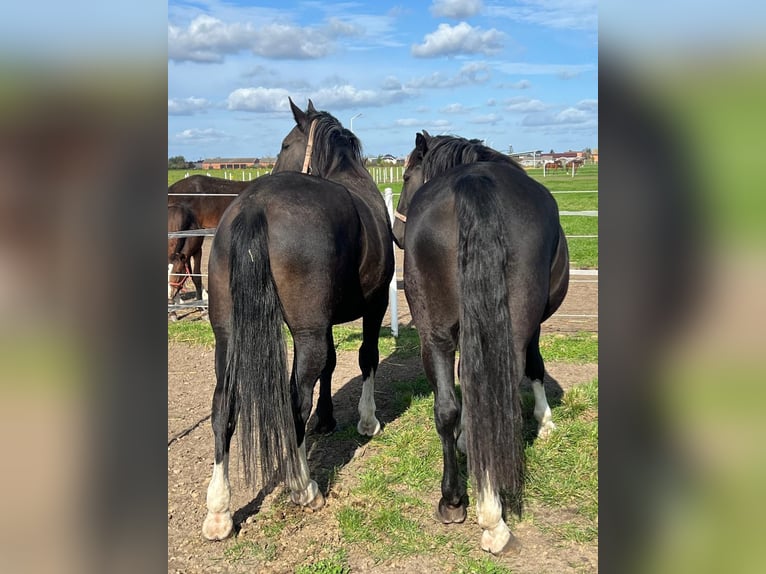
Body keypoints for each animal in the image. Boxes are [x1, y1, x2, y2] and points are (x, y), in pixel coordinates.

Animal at [202, 99, 396, 544]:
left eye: (284, 144)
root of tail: (254, 205)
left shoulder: (325, 322)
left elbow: (331, 365)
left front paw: (327, 419)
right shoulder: (373, 305)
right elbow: (366, 357)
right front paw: (367, 420)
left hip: (228, 336)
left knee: (223, 408)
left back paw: (219, 511)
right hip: (306, 334)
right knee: (294, 402)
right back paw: (303, 487)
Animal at [392, 133, 568, 556]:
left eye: (406, 176)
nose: (395, 234)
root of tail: (476, 183)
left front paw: (465, 442)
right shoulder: (532, 328)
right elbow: (535, 367)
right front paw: (545, 421)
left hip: (434, 334)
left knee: (447, 406)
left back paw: (454, 500)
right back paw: (492, 519)